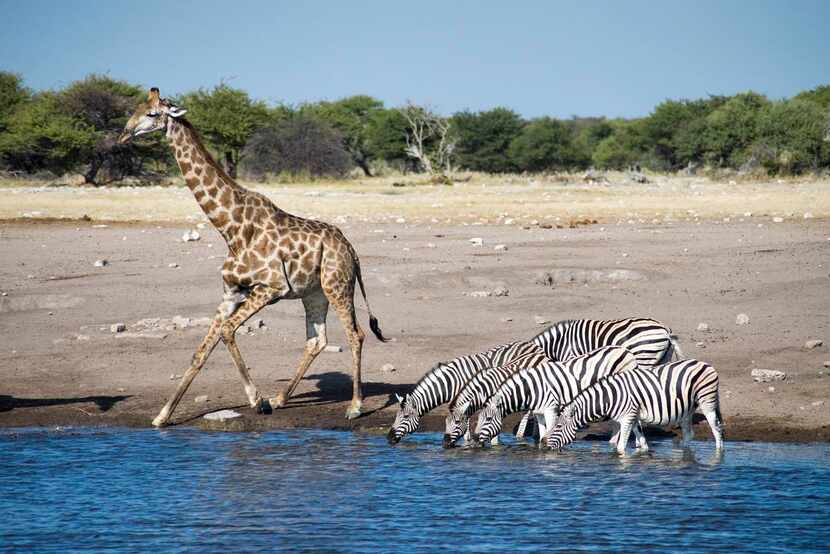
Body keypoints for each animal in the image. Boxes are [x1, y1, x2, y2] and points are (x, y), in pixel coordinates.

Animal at [118, 86, 390, 424]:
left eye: (152, 114)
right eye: (136, 109)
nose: (124, 134)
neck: (230, 228)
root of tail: (350, 248)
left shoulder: (271, 287)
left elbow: (227, 330)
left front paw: (256, 400)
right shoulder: (230, 292)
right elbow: (202, 350)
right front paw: (162, 416)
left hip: (337, 285)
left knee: (356, 335)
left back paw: (354, 406)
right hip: (313, 293)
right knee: (317, 340)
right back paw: (281, 398)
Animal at [388, 338, 544, 442]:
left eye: (405, 417)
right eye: (396, 416)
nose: (388, 437)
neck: (450, 382)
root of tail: (532, 345)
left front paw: (467, 440)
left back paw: (525, 435)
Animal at [474, 344, 648, 444]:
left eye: (487, 419)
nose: (475, 438)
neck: (532, 388)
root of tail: (626, 351)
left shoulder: (551, 409)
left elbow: (550, 431)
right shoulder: (539, 412)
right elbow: (542, 433)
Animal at [544, 358, 720, 452]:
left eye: (558, 427)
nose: (546, 447)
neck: (610, 397)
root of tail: (705, 363)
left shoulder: (627, 417)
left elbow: (621, 446)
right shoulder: (634, 417)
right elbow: (642, 441)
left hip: (707, 400)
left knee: (716, 428)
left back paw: (719, 454)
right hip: (687, 409)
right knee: (689, 434)